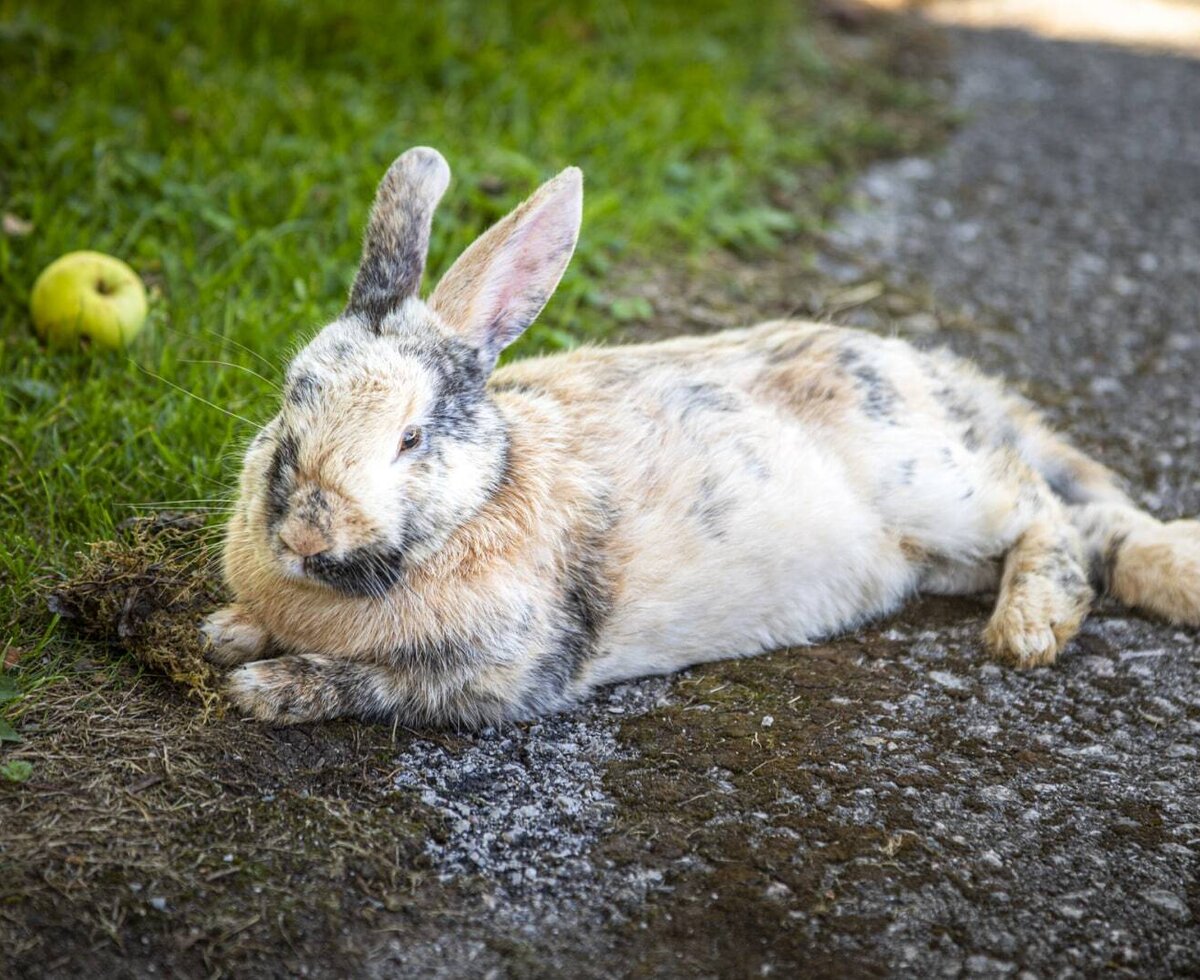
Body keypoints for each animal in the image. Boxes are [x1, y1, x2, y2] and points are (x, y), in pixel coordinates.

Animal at [202, 146, 1200, 727]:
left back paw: (1029, 631)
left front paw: (264, 689)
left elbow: (369, 685)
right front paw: (227, 632)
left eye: (410, 439)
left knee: (1050, 516)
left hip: (939, 483)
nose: (304, 535)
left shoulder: (499, 675)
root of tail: (947, 379)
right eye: (291, 399)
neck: (480, 496)